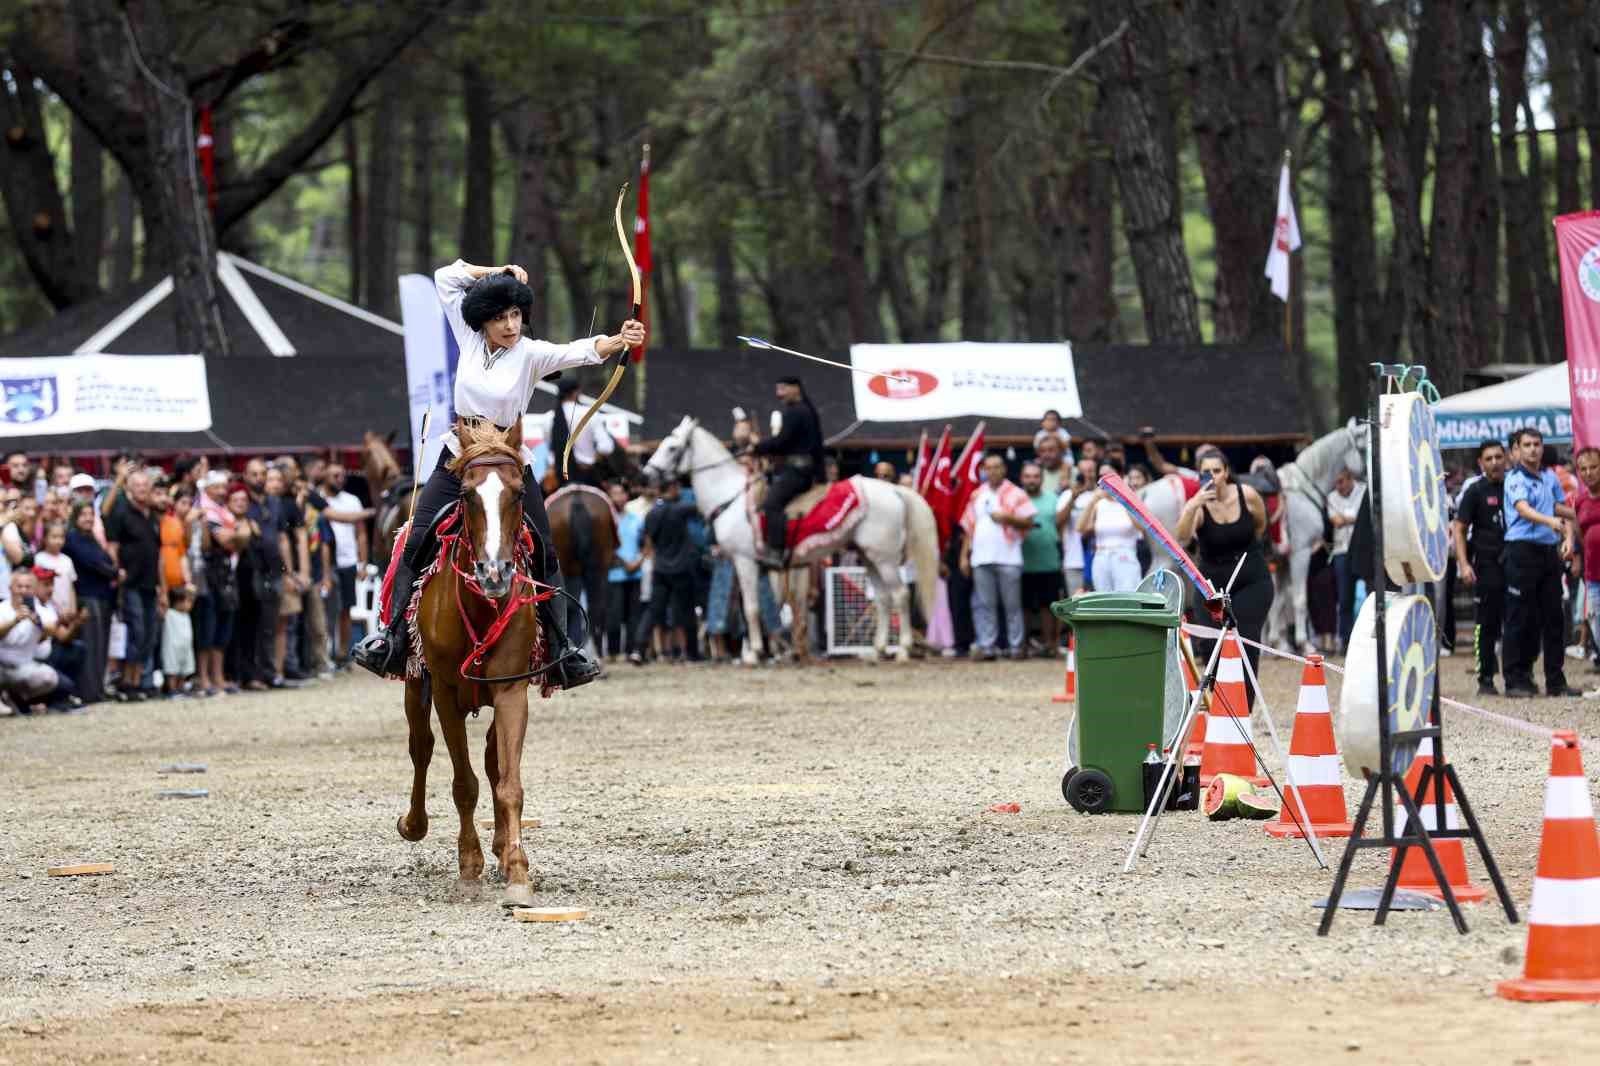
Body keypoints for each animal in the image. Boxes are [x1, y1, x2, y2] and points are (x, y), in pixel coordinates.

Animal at [395, 419, 556, 902]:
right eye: (467, 495)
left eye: (518, 493)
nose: (495, 572)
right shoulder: (445, 690)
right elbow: (463, 783)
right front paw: (469, 865)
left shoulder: (511, 688)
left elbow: (508, 782)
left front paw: (517, 869)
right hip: (415, 683)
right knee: (421, 748)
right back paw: (414, 824)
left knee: (491, 760)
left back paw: (502, 847)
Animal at [643, 416, 940, 659]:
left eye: (672, 447)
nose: (647, 474)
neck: (732, 497)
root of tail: (894, 490)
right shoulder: (760, 568)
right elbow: (764, 609)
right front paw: (767, 649)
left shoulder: (745, 562)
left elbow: (752, 608)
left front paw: (755, 653)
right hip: (869, 557)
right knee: (883, 599)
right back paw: (878, 650)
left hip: (884, 559)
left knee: (900, 595)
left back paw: (903, 649)